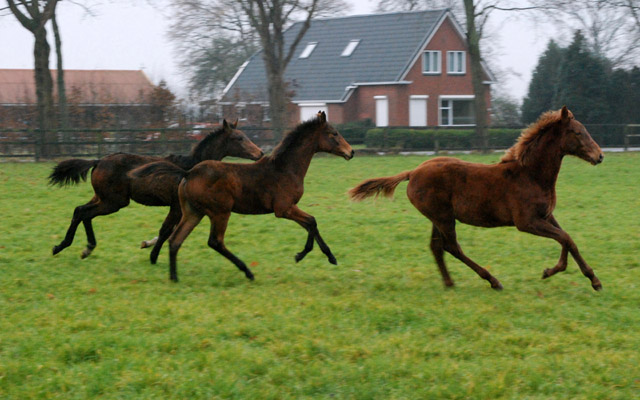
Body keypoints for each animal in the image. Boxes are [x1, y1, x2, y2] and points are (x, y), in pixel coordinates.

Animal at [47, 120, 262, 260]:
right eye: (239, 138)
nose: (260, 153)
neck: (191, 167)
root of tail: (98, 161)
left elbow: (168, 230)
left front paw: (148, 246)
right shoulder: (176, 206)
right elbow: (166, 230)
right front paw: (153, 255)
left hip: (101, 197)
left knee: (82, 212)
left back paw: (84, 248)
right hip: (114, 202)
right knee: (83, 212)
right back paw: (62, 246)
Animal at [131, 111, 356, 282]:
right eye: (334, 133)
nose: (351, 152)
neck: (285, 168)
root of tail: (188, 172)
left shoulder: (289, 208)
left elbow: (311, 224)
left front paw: (326, 256)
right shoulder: (283, 209)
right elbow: (312, 221)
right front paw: (304, 255)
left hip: (193, 212)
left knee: (175, 240)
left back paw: (174, 277)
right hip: (220, 211)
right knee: (215, 241)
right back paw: (247, 271)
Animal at [350, 107, 604, 290]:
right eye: (577, 132)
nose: (600, 156)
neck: (531, 174)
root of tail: (412, 172)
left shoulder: (546, 215)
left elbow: (567, 239)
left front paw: (576, 275)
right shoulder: (526, 222)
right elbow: (565, 238)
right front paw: (575, 275)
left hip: (438, 217)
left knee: (436, 246)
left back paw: (449, 283)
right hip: (443, 217)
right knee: (451, 246)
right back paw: (492, 280)